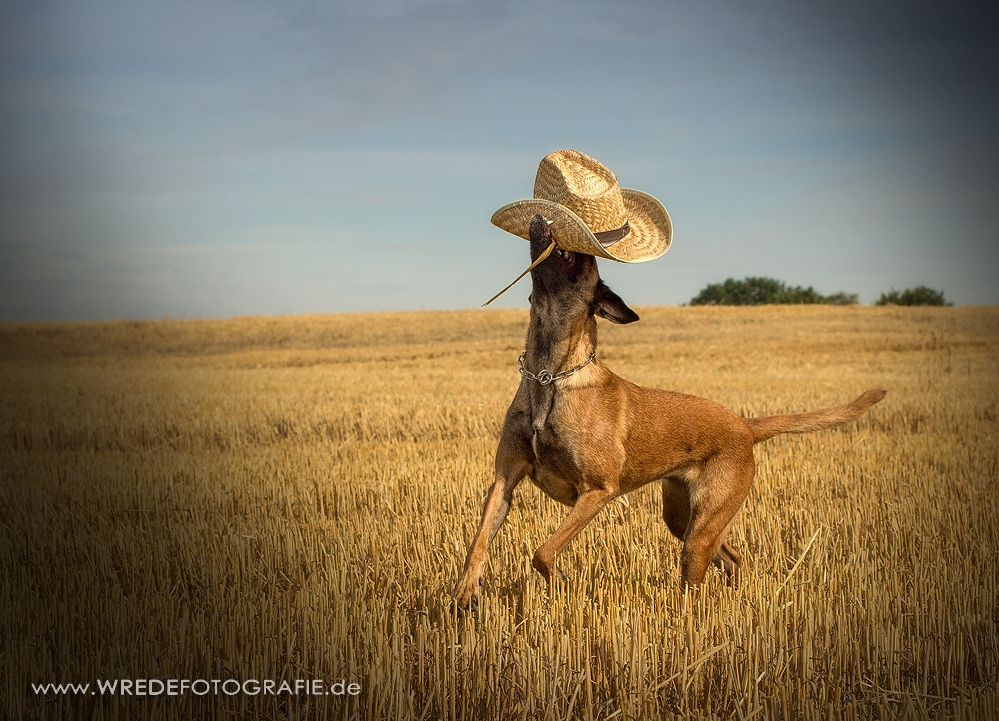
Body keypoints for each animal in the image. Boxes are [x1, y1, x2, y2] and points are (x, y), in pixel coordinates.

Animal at [454, 214, 884, 608]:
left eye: (580, 255)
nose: (544, 216)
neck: (549, 374)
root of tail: (743, 425)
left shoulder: (597, 490)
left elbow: (543, 552)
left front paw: (560, 577)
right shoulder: (504, 480)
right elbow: (479, 541)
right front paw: (466, 590)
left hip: (702, 526)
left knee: (697, 579)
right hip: (683, 520)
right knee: (732, 557)